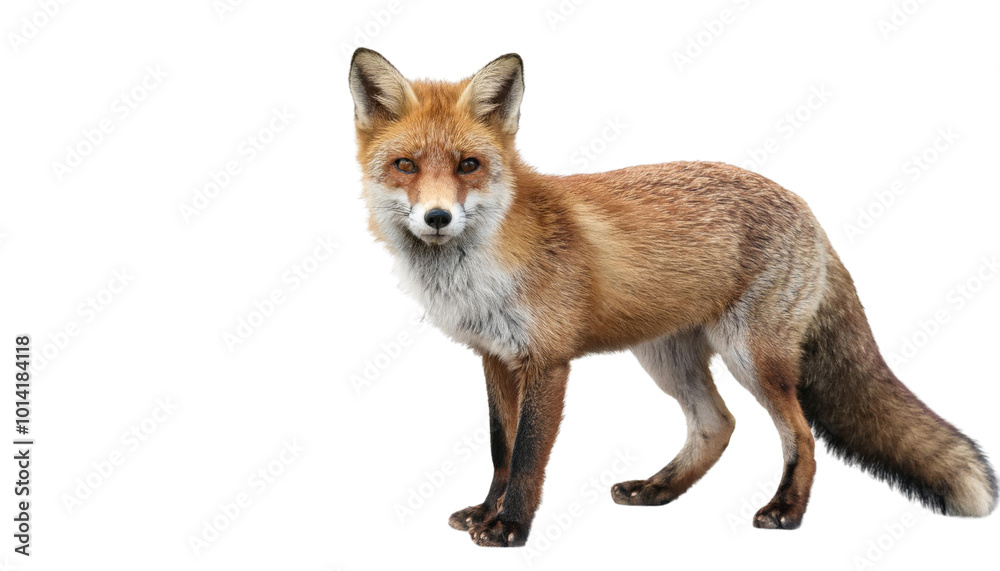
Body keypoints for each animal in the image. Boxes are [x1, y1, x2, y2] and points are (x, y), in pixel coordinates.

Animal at [349, 48, 997, 547]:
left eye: (468, 165)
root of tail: (806, 207)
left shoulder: (547, 361)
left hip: (752, 357)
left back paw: (786, 512)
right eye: (405, 165)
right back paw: (658, 490)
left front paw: (511, 527)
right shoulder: (494, 357)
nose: (437, 217)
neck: (482, 270)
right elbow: (499, 449)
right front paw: (487, 512)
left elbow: (529, 454)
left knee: (802, 435)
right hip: (667, 358)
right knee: (717, 425)